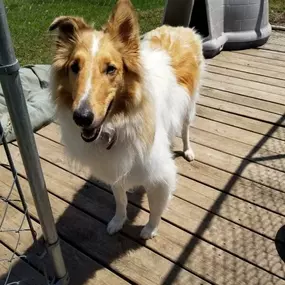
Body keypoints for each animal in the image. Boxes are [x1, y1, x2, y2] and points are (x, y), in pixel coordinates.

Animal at [49, 0, 204, 237]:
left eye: (111, 68)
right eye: (74, 67)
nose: (81, 118)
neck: (117, 123)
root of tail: (178, 28)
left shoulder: (162, 175)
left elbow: (156, 209)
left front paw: (149, 230)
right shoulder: (114, 167)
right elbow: (120, 200)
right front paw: (117, 222)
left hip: (189, 106)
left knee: (186, 129)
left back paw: (188, 151)